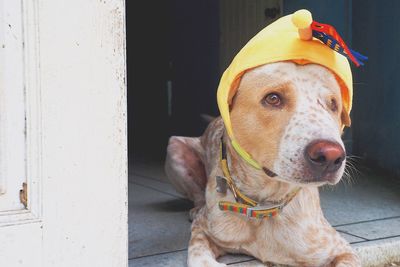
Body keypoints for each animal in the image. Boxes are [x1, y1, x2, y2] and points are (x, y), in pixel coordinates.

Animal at [164, 61, 360, 267]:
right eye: (273, 99)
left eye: (333, 104)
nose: (331, 156)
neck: (264, 204)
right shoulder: (202, 230)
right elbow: (200, 257)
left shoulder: (343, 249)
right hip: (174, 147)